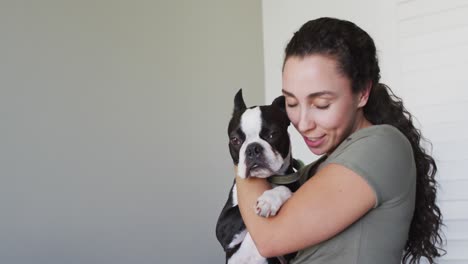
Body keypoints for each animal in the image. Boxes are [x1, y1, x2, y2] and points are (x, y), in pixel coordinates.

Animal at [216, 89, 300, 264]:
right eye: (235, 140)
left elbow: (285, 188)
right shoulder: (223, 230)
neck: (268, 179)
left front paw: (269, 200)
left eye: (273, 134)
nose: (252, 148)